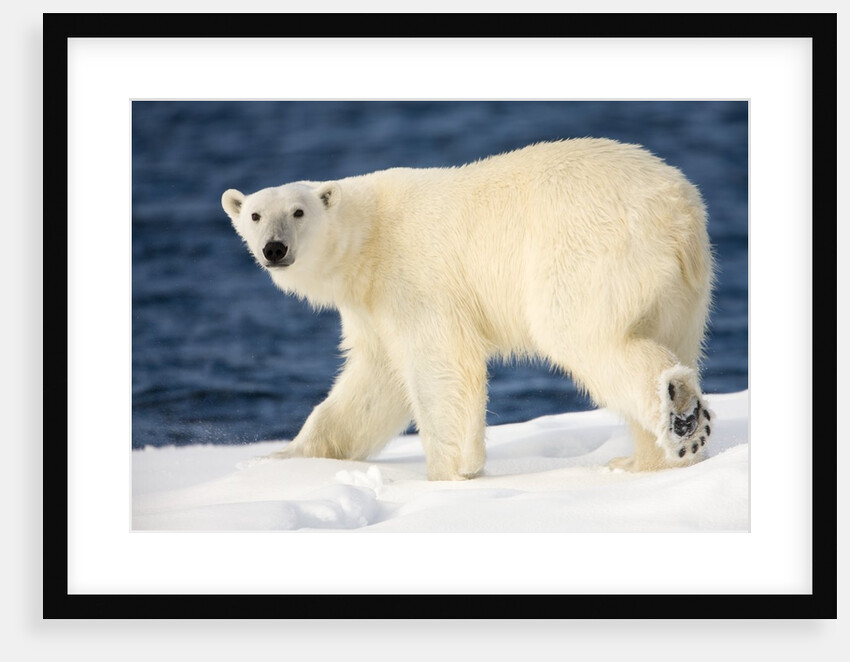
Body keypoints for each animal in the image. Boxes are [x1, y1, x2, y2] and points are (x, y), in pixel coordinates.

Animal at [222, 139, 714, 480]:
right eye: (255, 215)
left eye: (298, 212)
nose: (274, 248)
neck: (368, 239)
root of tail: (679, 213)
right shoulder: (370, 306)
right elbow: (373, 382)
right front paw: (287, 456)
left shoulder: (413, 277)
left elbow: (440, 361)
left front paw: (451, 472)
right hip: (682, 290)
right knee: (670, 335)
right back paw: (647, 459)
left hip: (587, 252)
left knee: (583, 334)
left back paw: (678, 414)